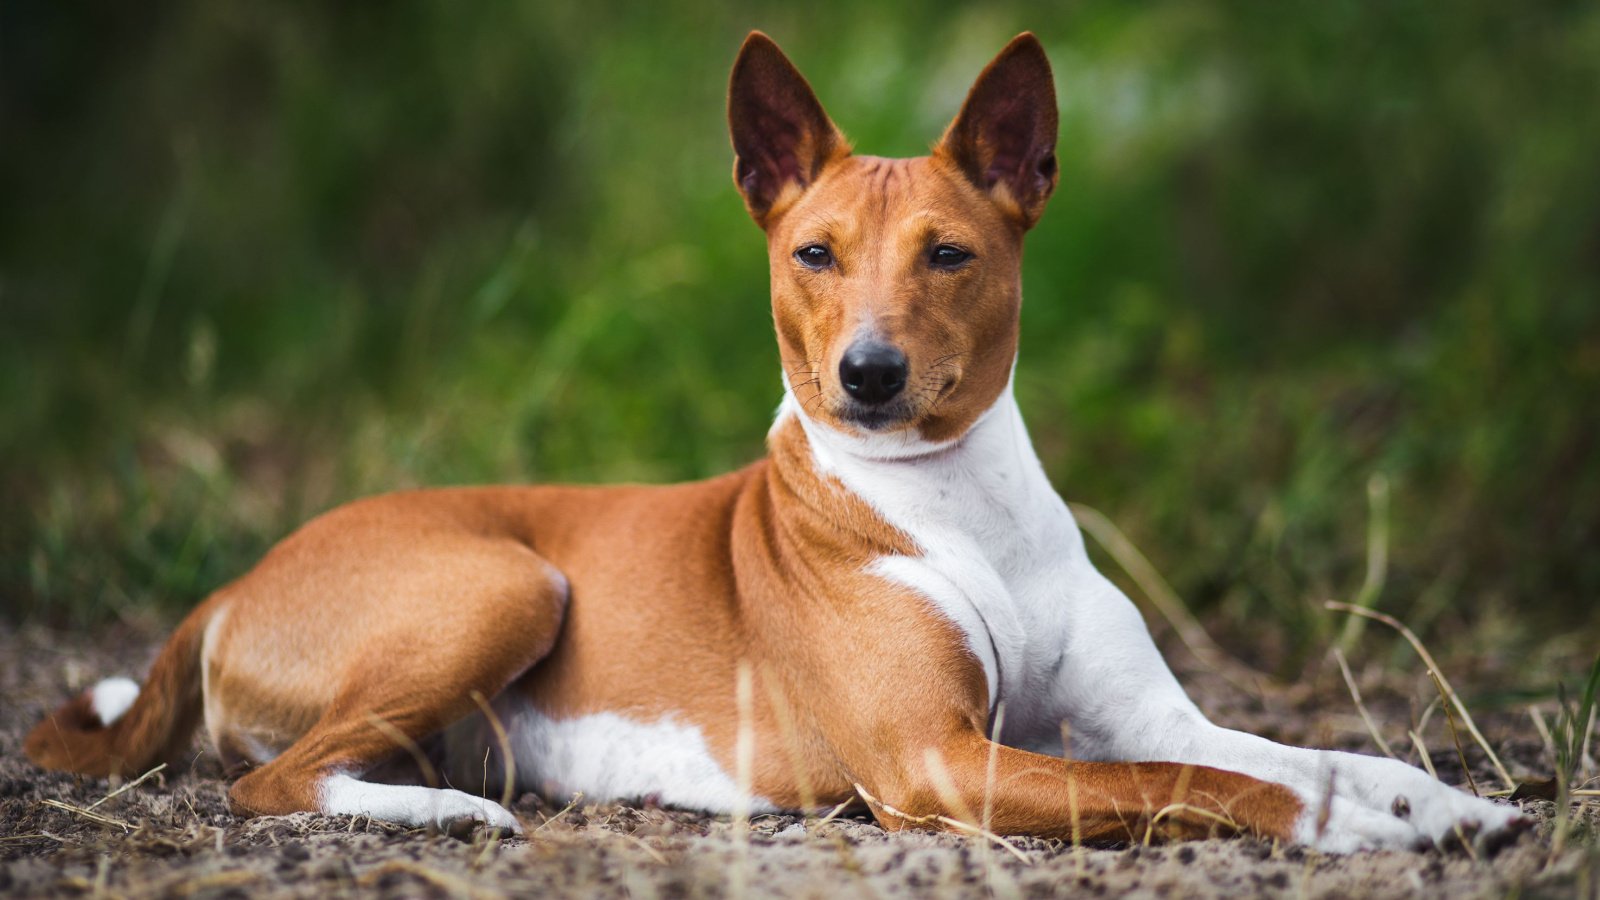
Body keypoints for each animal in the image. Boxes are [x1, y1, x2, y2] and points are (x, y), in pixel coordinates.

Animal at [28, 31, 1523, 851]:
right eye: (814, 253)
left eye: (949, 254)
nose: (867, 373)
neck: (959, 509)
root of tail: (243, 577)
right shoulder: (937, 763)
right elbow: (1196, 783)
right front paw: (1356, 832)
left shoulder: (1141, 712)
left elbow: (1289, 752)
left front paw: (1438, 803)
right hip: (508, 580)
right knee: (271, 780)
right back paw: (457, 820)